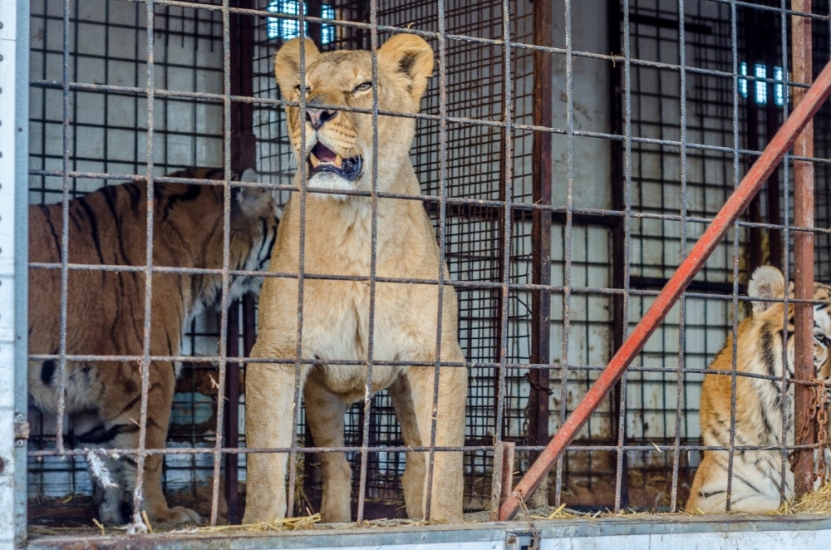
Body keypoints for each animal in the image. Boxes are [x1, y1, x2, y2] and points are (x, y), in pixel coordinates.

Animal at [26, 167, 280, 528]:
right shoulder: (149, 375)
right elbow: (147, 453)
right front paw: (162, 515)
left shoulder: (92, 399)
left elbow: (106, 459)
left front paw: (113, 517)